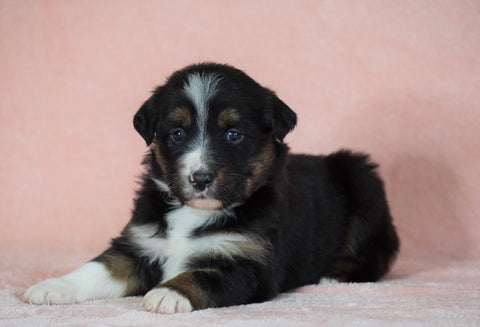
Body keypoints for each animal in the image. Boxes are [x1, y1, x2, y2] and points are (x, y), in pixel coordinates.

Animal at [24, 62, 400, 316]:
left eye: (233, 134)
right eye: (177, 133)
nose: (200, 178)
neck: (192, 213)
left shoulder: (252, 266)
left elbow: (203, 276)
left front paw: (168, 294)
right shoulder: (137, 245)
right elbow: (98, 268)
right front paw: (51, 286)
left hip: (363, 179)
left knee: (378, 256)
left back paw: (333, 277)